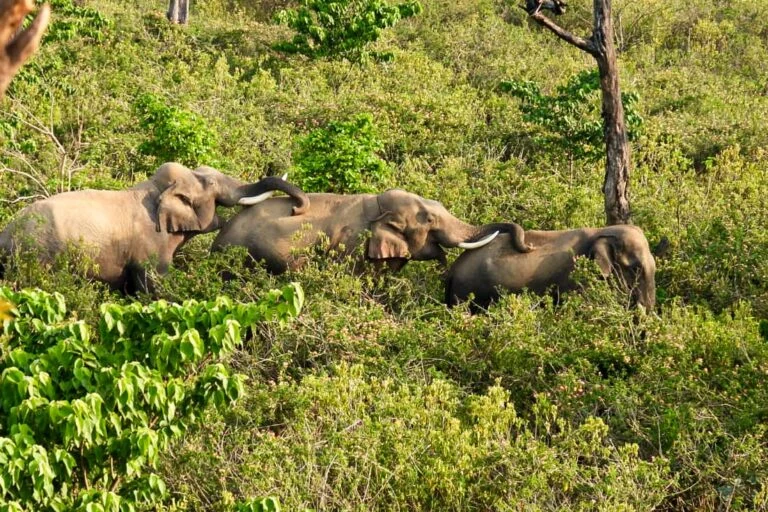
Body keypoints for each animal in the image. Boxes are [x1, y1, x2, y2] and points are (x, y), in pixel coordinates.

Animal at [0, 162, 310, 293]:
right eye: (211, 184)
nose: (296, 208)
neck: (152, 189)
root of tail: (5, 233)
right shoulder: (148, 245)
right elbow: (154, 286)